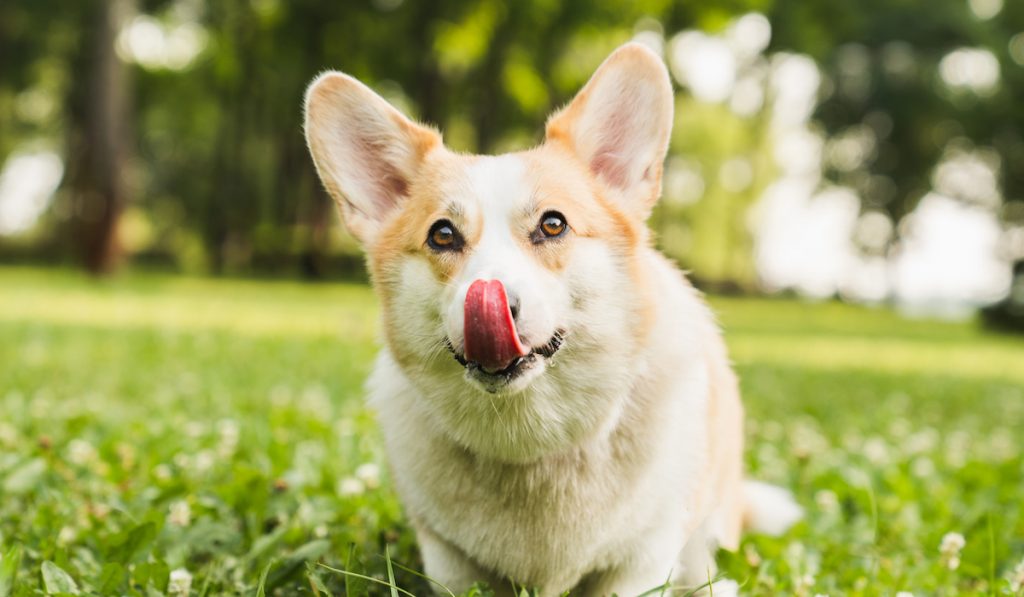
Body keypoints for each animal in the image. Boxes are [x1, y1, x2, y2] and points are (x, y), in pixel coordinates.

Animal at [301, 43, 798, 597]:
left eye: (553, 224)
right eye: (442, 234)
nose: (492, 304)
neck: (531, 442)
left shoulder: (641, 561)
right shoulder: (450, 561)